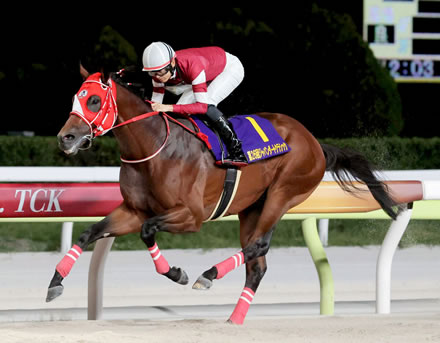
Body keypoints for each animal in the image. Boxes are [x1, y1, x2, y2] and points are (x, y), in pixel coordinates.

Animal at [48, 66, 398, 326]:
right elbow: (89, 232)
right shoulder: (133, 210)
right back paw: (234, 319)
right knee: (257, 266)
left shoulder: (190, 216)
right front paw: (55, 283)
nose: (66, 138)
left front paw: (177, 274)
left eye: (94, 100)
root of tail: (314, 141)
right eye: (76, 97)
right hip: (252, 208)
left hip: (283, 193)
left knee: (258, 245)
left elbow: (148, 232)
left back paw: (209, 275)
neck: (154, 146)